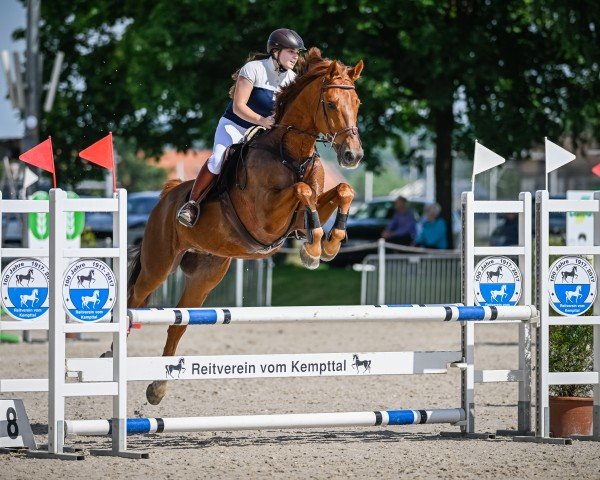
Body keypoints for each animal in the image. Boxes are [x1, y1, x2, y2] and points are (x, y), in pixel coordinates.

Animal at [128, 47, 364, 404]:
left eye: (358, 103)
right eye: (332, 103)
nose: (353, 155)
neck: (291, 154)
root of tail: (169, 194)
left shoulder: (295, 218)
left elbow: (341, 191)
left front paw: (329, 244)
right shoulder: (266, 220)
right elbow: (303, 190)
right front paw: (312, 249)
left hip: (208, 273)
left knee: (178, 323)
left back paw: (157, 388)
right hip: (158, 264)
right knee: (134, 302)